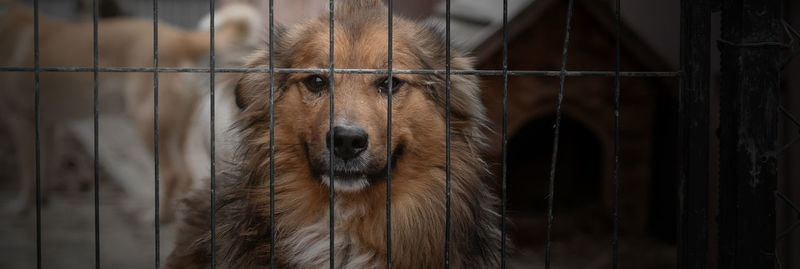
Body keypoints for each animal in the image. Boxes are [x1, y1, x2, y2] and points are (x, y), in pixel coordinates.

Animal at [0, 0, 260, 220]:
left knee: (171, 173)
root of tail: (179, 38)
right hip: (178, 129)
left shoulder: (20, 120)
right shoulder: (47, 124)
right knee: (184, 174)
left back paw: (157, 218)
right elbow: (44, 166)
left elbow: (28, 170)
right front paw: (42, 203)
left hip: (147, 121)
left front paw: (21, 207)